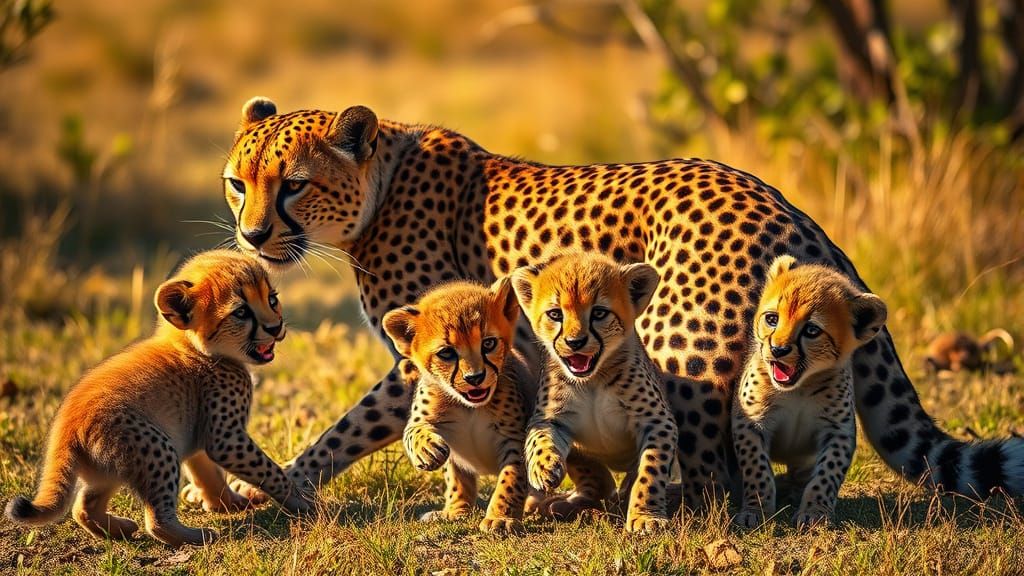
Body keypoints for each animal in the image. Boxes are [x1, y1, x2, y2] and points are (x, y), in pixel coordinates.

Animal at [4, 249, 309, 547]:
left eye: (272, 299)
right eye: (242, 312)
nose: (275, 327)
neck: (193, 347)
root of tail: (65, 424)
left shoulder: (199, 438)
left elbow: (209, 475)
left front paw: (229, 503)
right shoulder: (226, 439)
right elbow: (270, 470)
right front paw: (303, 500)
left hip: (110, 468)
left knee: (83, 507)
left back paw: (121, 530)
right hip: (157, 448)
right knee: (157, 521)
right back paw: (196, 536)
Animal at [381, 278, 537, 533]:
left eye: (488, 343)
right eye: (446, 353)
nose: (475, 377)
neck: (468, 407)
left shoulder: (514, 438)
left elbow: (511, 478)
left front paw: (500, 517)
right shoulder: (424, 420)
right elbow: (413, 434)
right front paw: (427, 451)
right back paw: (454, 511)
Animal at [512, 252, 677, 533]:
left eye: (599, 313)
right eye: (555, 314)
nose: (575, 342)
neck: (593, 379)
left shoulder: (657, 421)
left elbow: (651, 470)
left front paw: (646, 516)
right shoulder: (550, 418)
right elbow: (538, 439)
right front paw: (542, 468)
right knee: (597, 481)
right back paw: (566, 503)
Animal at [732, 255, 887, 529]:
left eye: (811, 330)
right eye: (772, 319)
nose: (778, 349)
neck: (799, 388)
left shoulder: (838, 431)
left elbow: (827, 474)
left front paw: (815, 511)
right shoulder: (749, 422)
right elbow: (757, 468)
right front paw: (756, 510)